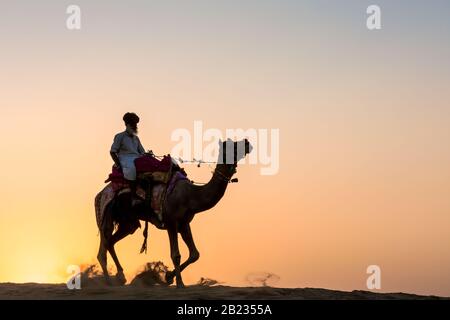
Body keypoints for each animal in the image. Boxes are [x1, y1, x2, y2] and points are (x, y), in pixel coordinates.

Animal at [96, 138, 251, 288]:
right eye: (231, 146)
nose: (247, 142)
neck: (191, 195)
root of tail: (99, 194)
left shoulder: (184, 223)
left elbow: (195, 254)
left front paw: (169, 276)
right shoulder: (171, 222)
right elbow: (175, 254)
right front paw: (180, 283)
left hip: (128, 222)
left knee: (110, 242)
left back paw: (120, 277)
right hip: (106, 214)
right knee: (103, 247)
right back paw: (108, 282)